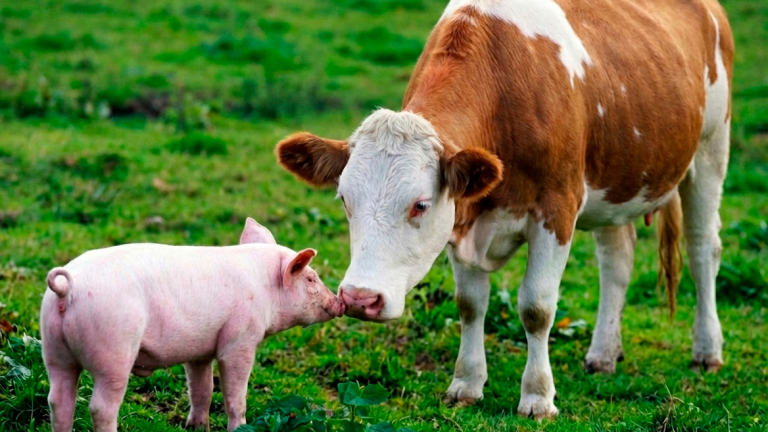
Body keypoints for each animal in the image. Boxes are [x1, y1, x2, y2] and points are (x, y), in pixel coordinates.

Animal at [40, 218, 345, 432]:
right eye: (310, 279)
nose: (339, 302)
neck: (265, 287)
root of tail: (68, 288)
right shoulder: (240, 339)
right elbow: (235, 394)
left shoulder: (199, 351)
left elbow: (202, 390)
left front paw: (197, 427)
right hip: (113, 348)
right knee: (100, 407)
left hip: (53, 348)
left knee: (58, 400)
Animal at [275, 0, 733, 419]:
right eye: (344, 200)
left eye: (420, 204)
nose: (359, 298)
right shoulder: (462, 218)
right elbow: (470, 303)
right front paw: (466, 383)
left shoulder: (557, 208)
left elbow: (537, 307)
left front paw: (538, 397)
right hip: (618, 175)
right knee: (617, 260)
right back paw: (603, 354)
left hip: (711, 149)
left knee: (702, 248)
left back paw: (707, 349)